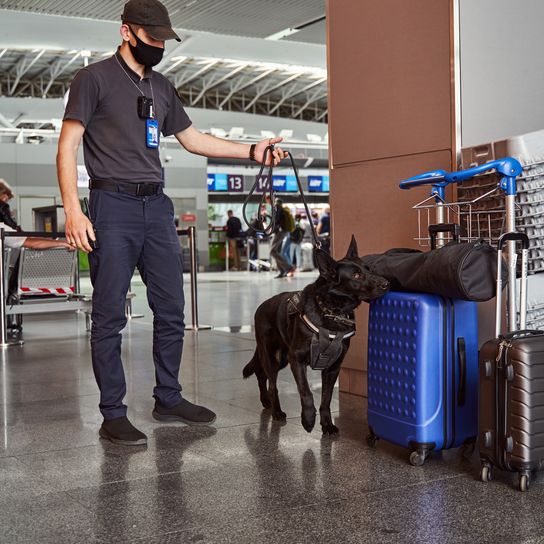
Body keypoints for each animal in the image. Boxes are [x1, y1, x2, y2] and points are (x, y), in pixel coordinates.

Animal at [244, 238, 388, 434]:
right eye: (356, 275)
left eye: (369, 269)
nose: (387, 283)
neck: (331, 310)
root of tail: (261, 307)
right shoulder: (297, 360)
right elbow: (306, 392)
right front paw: (308, 418)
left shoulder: (333, 367)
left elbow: (326, 398)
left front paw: (327, 423)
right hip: (273, 357)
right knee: (271, 383)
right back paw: (276, 410)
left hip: (281, 359)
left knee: (261, 374)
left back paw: (266, 401)